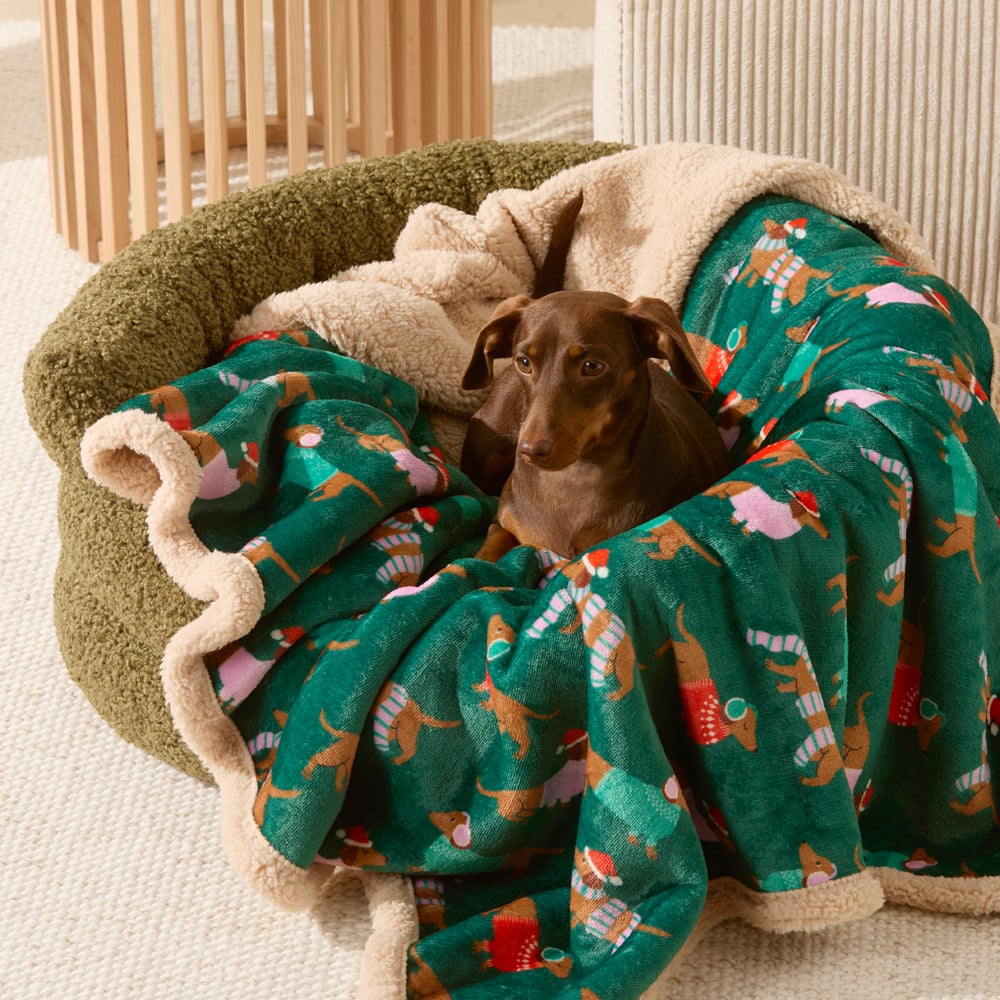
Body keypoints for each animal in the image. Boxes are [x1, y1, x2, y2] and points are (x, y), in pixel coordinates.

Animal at [458, 196, 728, 560]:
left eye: (592, 367)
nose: (530, 450)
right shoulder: (504, 525)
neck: (573, 479)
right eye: (524, 362)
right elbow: (487, 551)